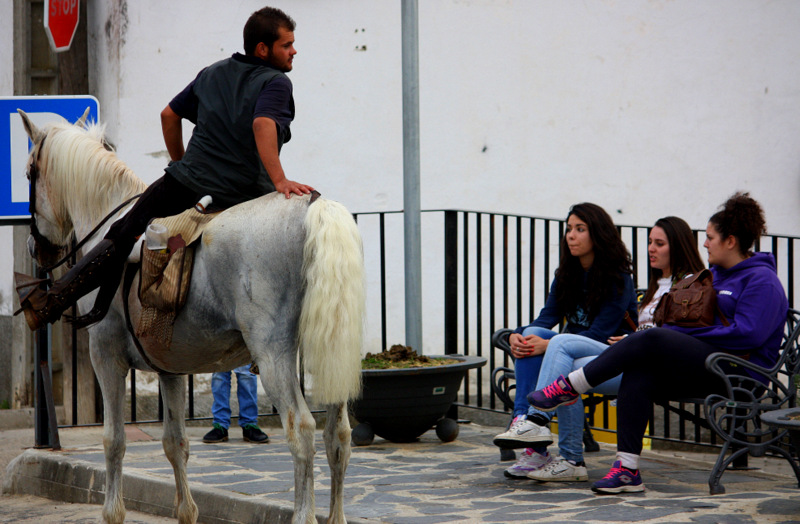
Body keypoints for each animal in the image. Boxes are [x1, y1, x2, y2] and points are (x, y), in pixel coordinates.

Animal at [17, 111, 366, 524]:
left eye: (29, 172)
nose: (33, 246)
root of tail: (314, 205)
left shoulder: (106, 357)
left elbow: (114, 440)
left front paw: (113, 511)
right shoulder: (170, 368)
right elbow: (175, 442)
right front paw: (185, 509)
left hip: (274, 355)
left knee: (302, 430)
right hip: (330, 351)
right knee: (337, 435)